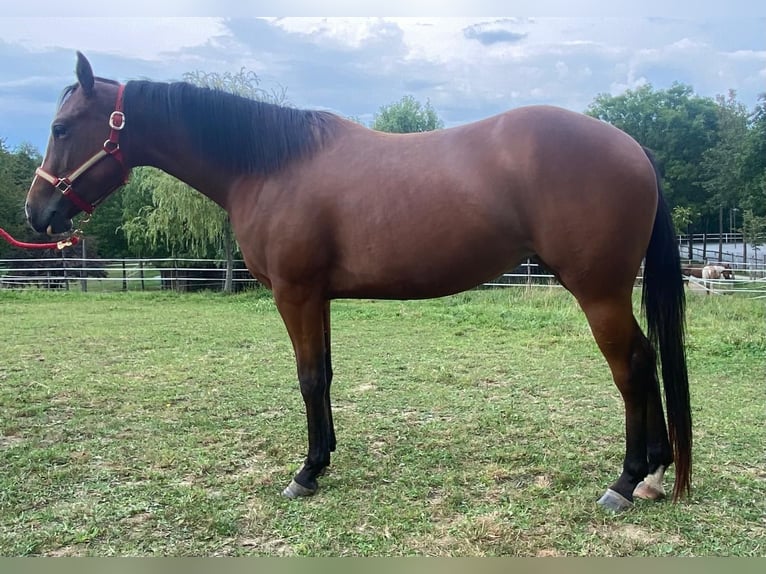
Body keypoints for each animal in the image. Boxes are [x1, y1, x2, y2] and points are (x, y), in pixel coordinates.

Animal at [24, 52, 691, 512]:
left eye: (62, 129)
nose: (37, 214)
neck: (269, 165)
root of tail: (633, 146)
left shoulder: (293, 293)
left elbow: (307, 377)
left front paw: (305, 474)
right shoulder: (316, 296)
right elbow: (323, 375)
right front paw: (323, 462)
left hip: (599, 291)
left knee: (633, 365)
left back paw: (627, 480)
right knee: (648, 358)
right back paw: (655, 475)